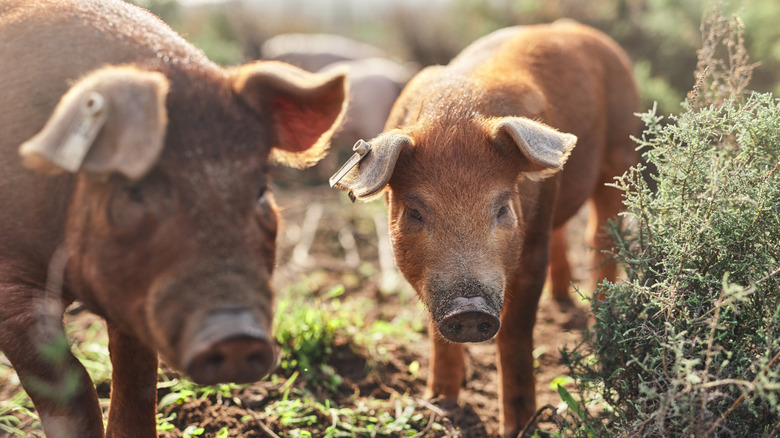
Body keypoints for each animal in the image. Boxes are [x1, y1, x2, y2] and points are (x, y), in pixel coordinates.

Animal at [0, 1, 346, 437]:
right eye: (133, 190)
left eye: (261, 190)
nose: (235, 336)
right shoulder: (9, 285)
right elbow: (68, 384)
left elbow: (137, 374)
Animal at [332, 22, 638, 437]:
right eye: (414, 212)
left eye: (502, 208)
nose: (469, 308)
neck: (454, 113)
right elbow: (437, 335)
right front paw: (440, 403)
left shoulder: (530, 251)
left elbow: (515, 333)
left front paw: (521, 426)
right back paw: (562, 302)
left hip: (620, 152)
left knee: (601, 237)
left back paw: (599, 325)